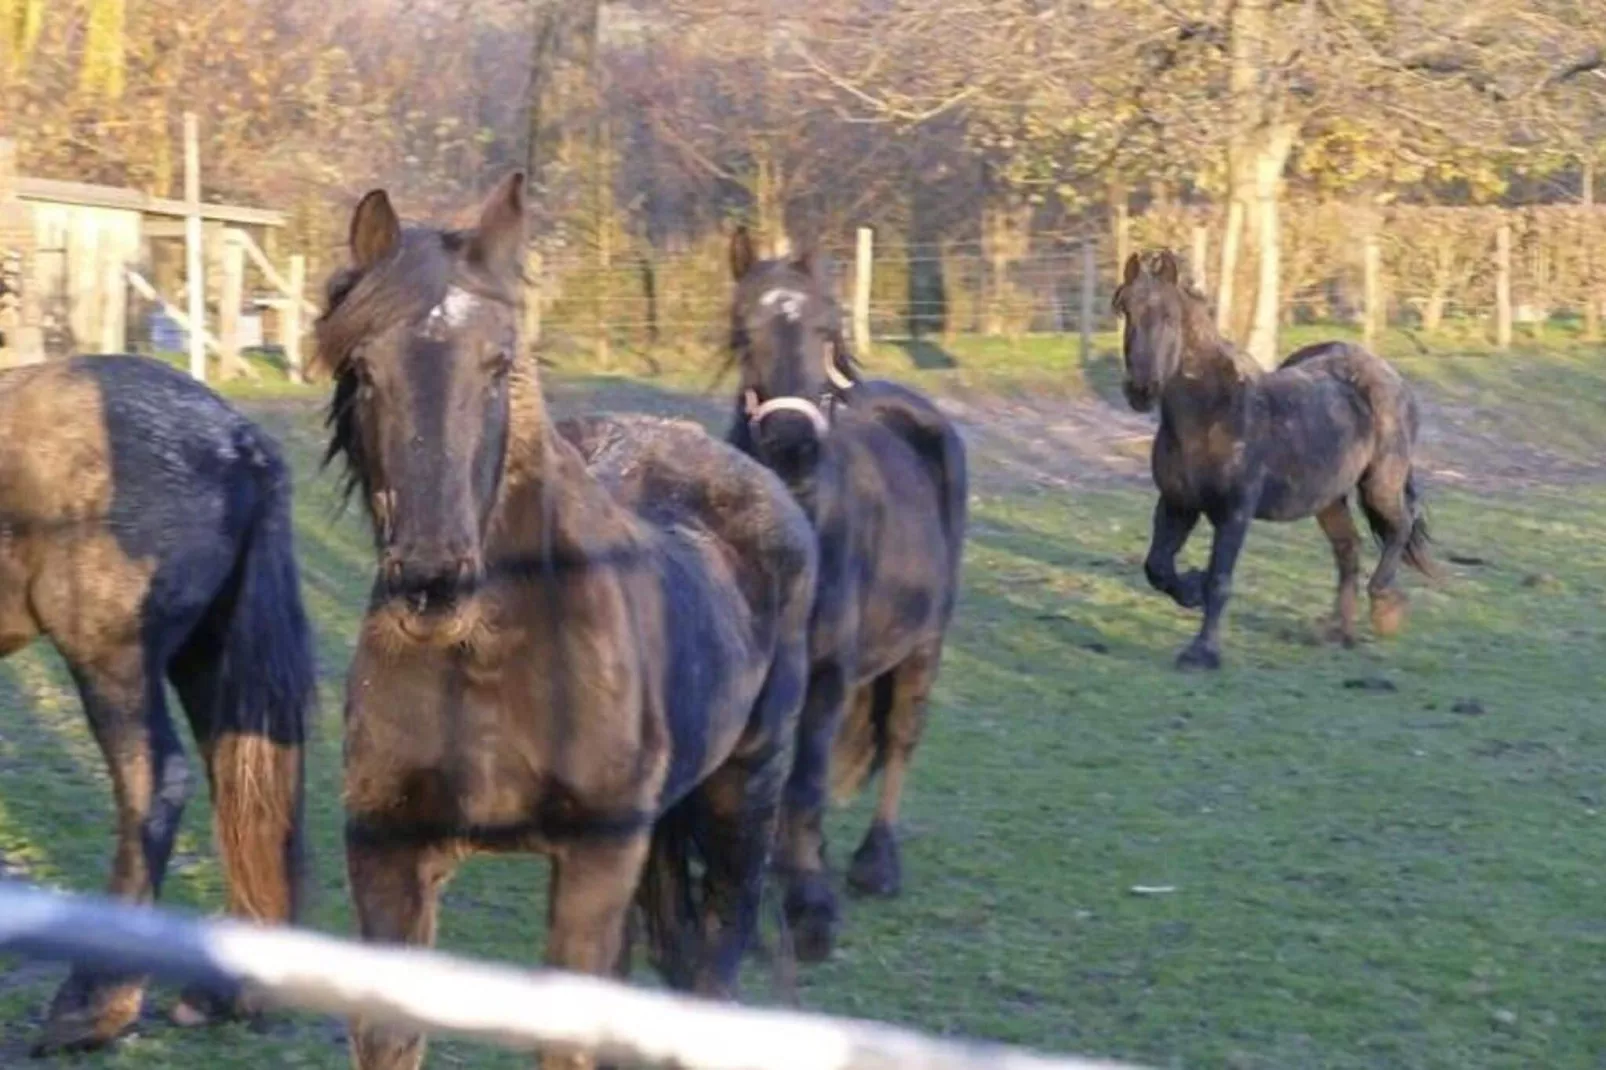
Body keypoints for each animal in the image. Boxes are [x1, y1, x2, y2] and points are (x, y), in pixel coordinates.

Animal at [0, 351, 311, 1047]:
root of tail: (237, 441)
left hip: (112, 659)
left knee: (154, 782)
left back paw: (91, 1007)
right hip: (208, 659)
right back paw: (224, 996)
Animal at [316, 176, 815, 1066]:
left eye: (497, 364)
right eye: (364, 369)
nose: (433, 584)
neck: (491, 664)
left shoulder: (593, 862)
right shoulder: (388, 859)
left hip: (744, 798)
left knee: (711, 968)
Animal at [725, 224, 963, 957]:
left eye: (827, 330)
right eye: (742, 333)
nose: (793, 446)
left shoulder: (828, 670)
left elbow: (805, 779)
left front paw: (810, 905)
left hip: (924, 646)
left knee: (901, 739)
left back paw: (874, 863)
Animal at [1111, 250, 1438, 668]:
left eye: (1169, 315)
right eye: (1125, 309)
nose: (1141, 389)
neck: (1210, 415)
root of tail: (1390, 376)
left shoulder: (1234, 512)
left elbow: (1220, 580)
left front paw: (1203, 652)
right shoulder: (1177, 503)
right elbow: (1158, 568)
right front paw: (1192, 589)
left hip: (1380, 483)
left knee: (1400, 526)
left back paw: (1384, 607)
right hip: (1328, 499)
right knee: (1348, 549)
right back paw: (1339, 632)